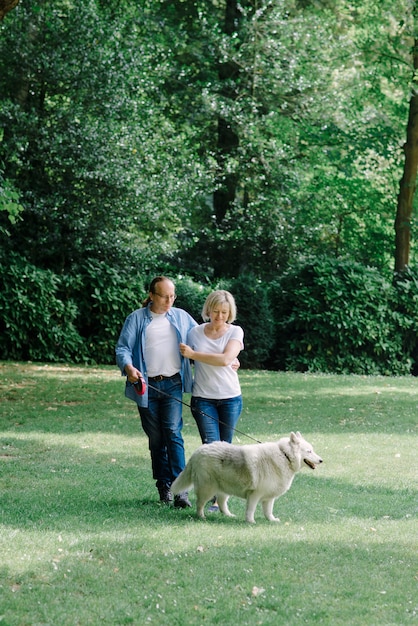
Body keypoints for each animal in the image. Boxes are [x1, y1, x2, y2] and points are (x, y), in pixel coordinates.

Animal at [171, 428, 322, 520]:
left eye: (312, 450)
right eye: (309, 451)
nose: (321, 460)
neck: (285, 456)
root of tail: (198, 451)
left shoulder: (269, 497)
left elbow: (268, 510)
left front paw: (271, 520)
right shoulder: (255, 495)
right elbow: (251, 510)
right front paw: (250, 522)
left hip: (225, 489)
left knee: (221, 503)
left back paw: (229, 515)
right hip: (207, 489)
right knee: (200, 503)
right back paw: (201, 517)